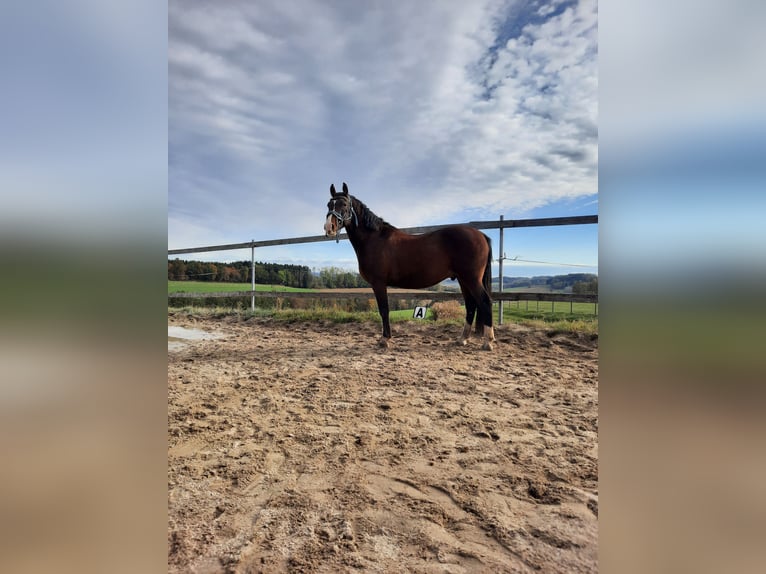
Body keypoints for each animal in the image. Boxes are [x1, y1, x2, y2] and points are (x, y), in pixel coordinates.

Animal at [326, 183, 498, 352]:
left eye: (344, 204)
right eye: (329, 205)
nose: (329, 227)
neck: (374, 239)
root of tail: (481, 235)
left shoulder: (379, 283)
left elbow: (384, 310)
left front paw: (385, 340)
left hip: (471, 279)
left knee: (485, 302)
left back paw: (487, 342)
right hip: (463, 280)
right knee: (471, 305)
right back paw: (462, 339)